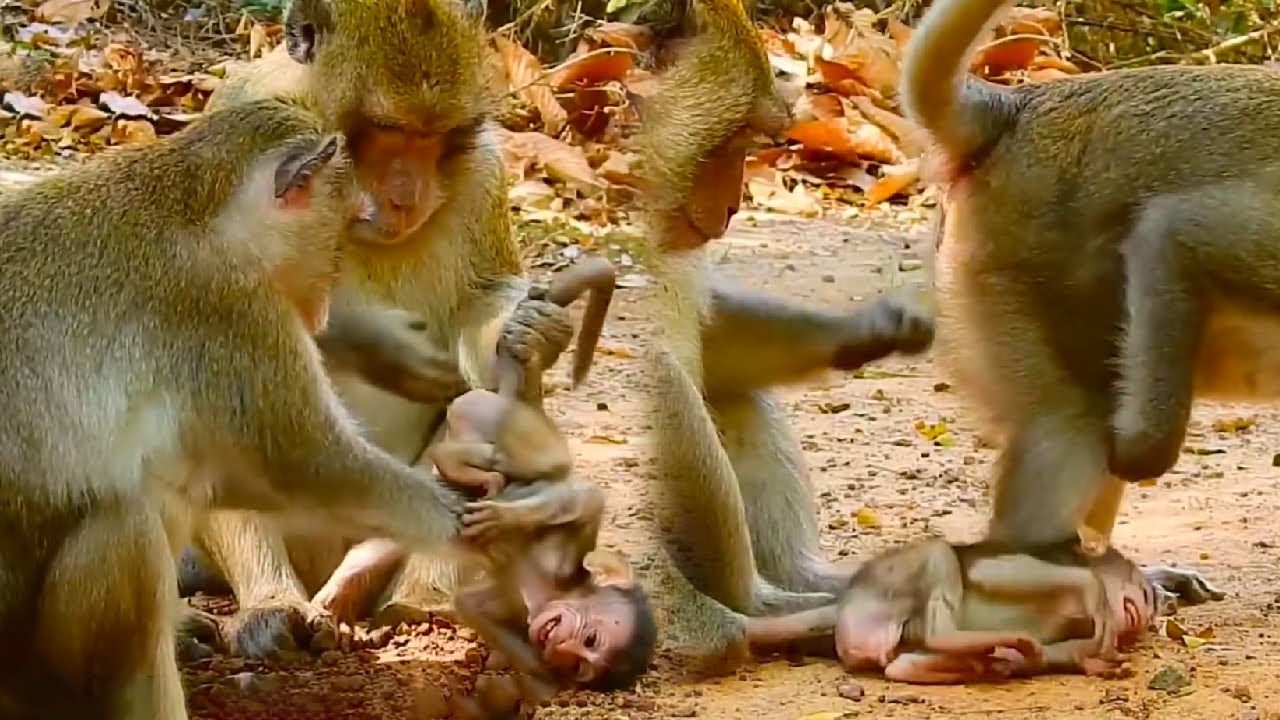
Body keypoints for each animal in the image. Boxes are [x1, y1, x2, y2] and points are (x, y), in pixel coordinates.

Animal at [0, 96, 471, 720]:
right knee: (129, 529)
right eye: (338, 230)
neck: (197, 211)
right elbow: (307, 467)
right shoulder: (232, 311)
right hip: (36, 664)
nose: (325, 294)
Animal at [175, 0, 583, 655]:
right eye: (386, 131)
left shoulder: (483, 169)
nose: (405, 197)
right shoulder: (240, 123)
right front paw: (378, 345)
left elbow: (484, 309)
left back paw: (409, 600)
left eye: (432, 139)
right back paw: (273, 605)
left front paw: (530, 329)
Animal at [743, 537, 1158, 684]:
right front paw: (1096, 595)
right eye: (1143, 591)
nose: (1147, 612)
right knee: (939, 556)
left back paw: (983, 663)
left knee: (901, 665)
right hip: (881, 594)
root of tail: (844, 603)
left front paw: (1090, 660)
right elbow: (992, 572)